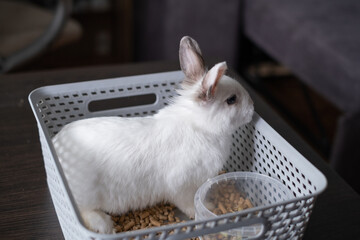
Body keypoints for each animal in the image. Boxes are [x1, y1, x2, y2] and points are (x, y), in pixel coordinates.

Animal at [52, 36, 253, 233]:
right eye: (231, 100)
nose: (252, 110)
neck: (201, 126)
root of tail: (55, 147)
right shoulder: (180, 185)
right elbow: (187, 202)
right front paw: (207, 207)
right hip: (86, 196)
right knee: (83, 211)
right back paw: (104, 226)